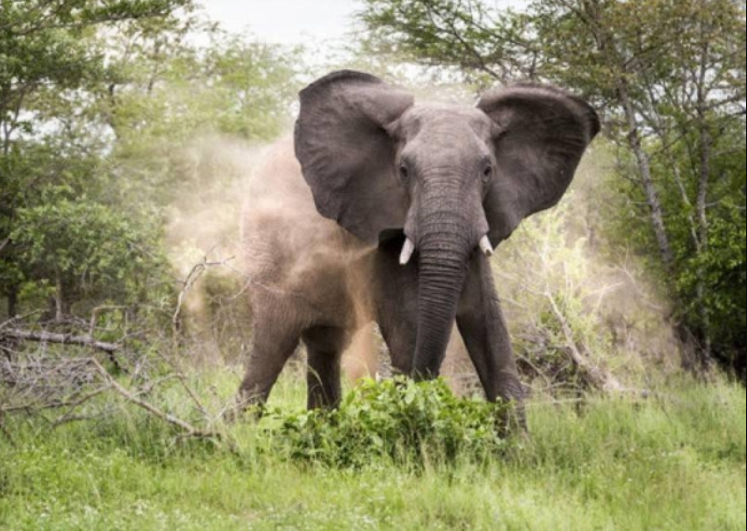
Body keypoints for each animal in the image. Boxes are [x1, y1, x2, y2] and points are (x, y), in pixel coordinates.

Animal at [237, 70, 600, 425]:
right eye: (403, 171)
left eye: (487, 171)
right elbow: (409, 326)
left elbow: (490, 323)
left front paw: (516, 443)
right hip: (270, 254)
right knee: (273, 342)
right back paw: (237, 431)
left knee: (324, 343)